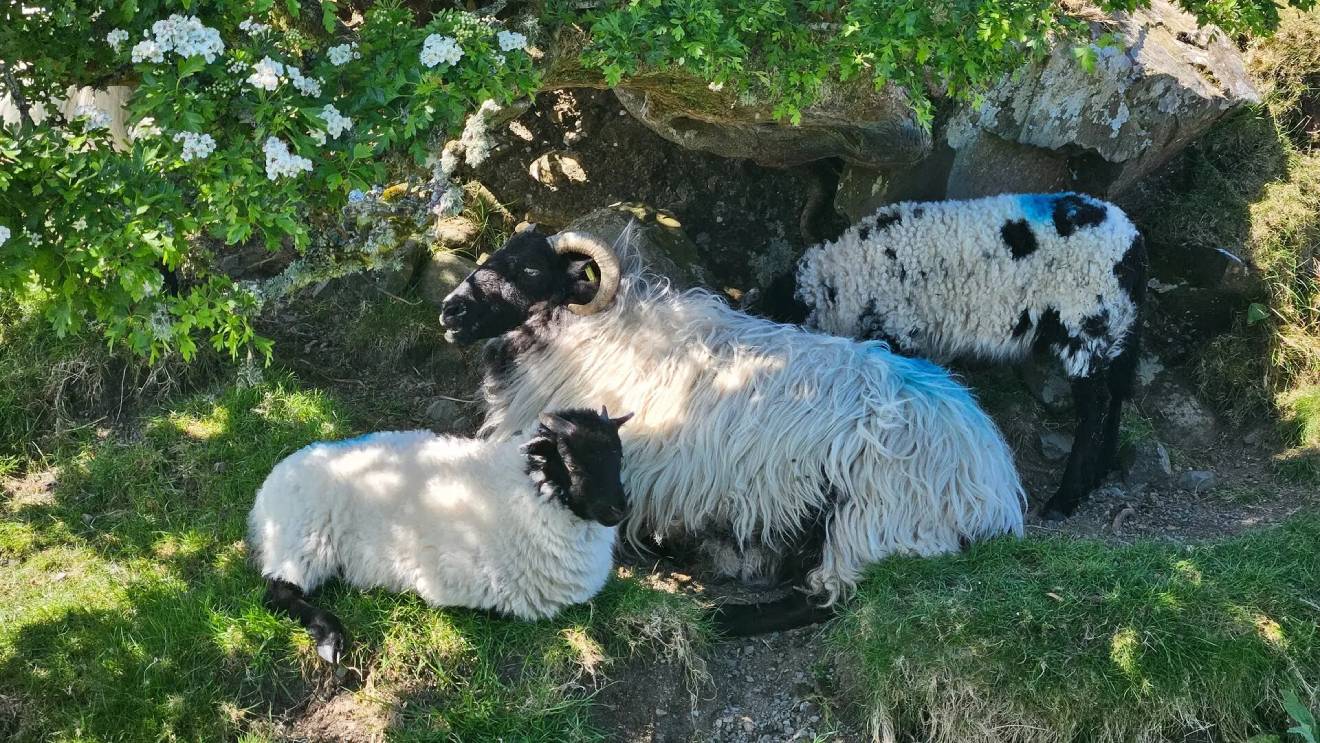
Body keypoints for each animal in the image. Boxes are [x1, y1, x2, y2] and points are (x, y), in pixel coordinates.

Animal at [248, 407, 633, 663]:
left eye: (619, 457)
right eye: (571, 459)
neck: (524, 490)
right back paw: (330, 638)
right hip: (303, 539)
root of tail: (267, 492)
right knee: (277, 593)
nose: (619, 510)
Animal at [439, 227, 1026, 636]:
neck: (583, 336)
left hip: (877, 514)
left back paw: (725, 617)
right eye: (493, 256)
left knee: (830, 598)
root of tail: (994, 479)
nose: (451, 310)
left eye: (531, 270)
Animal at [761, 192, 1147, 520]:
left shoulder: (899, 329)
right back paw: (1098, 473)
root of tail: (1133, 243)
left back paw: (1065, 499)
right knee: (1116, 395)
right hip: (1118, 326)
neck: (842, 285)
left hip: (1087, 320)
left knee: (1095, 409)